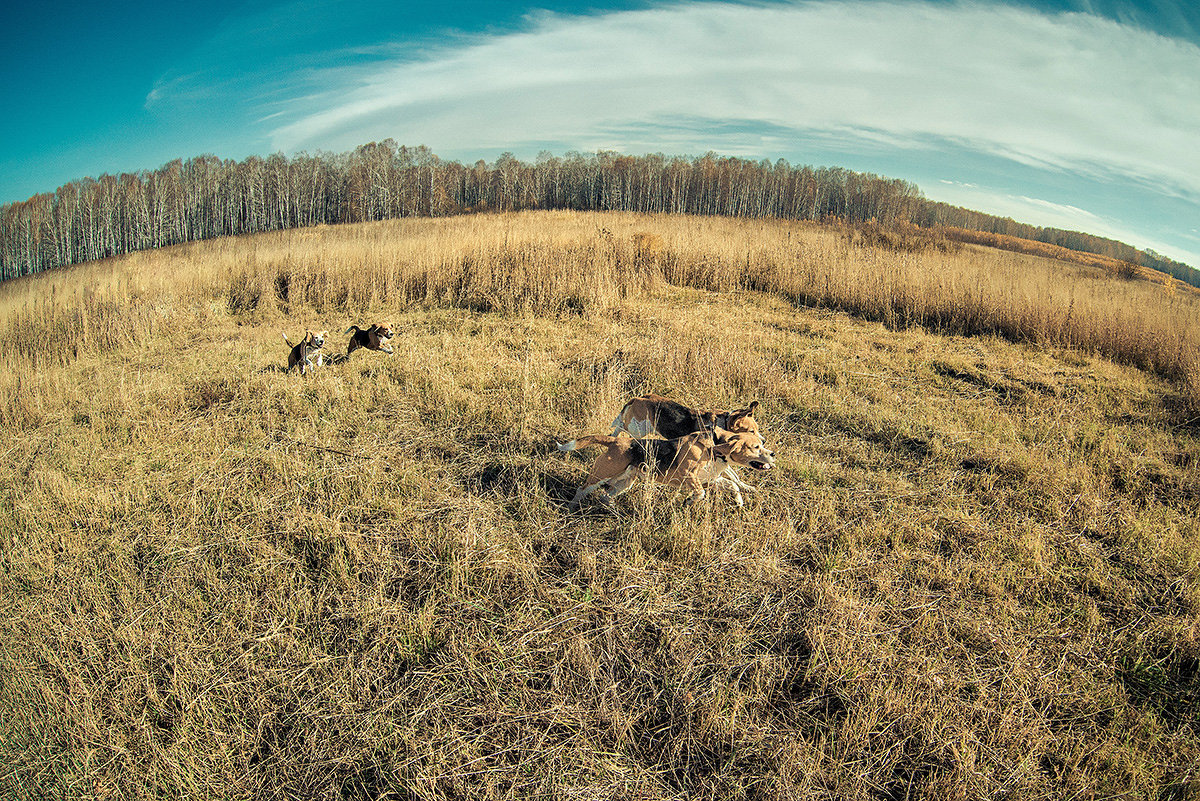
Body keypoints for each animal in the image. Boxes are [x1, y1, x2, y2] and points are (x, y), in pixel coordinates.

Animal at [554, 429, 777, 510]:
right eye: (756, 447)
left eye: (761, 445)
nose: (773, 454)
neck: (714, 446)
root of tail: (618, 441)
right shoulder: (689, 476)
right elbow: (700, 494)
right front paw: (689, 501)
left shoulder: (710, 479)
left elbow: (733, 485)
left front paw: (739, 501)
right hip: (602, 474)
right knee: (582, 490)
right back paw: (571, 508)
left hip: (625, 481)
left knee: (606, 496)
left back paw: (614, 511)